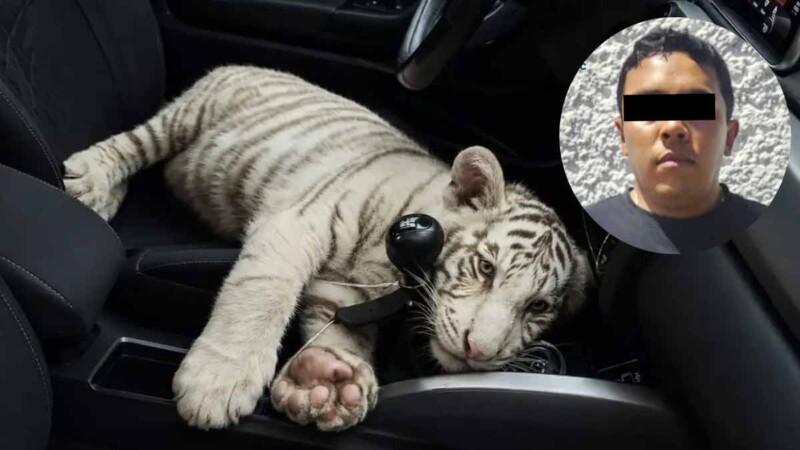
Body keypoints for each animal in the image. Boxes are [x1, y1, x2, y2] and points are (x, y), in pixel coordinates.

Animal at [62, 65, 590, 432]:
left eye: (538, 307)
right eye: (485, 267)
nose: (477, 352)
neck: (392, 269)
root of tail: (249, 64)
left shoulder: (346, 290)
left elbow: (340, 334)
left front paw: (326, 382)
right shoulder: (297, 224)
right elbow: (261, 295)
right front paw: (217, 382)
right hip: (187, 115)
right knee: (134, 143)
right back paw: (90, 182)